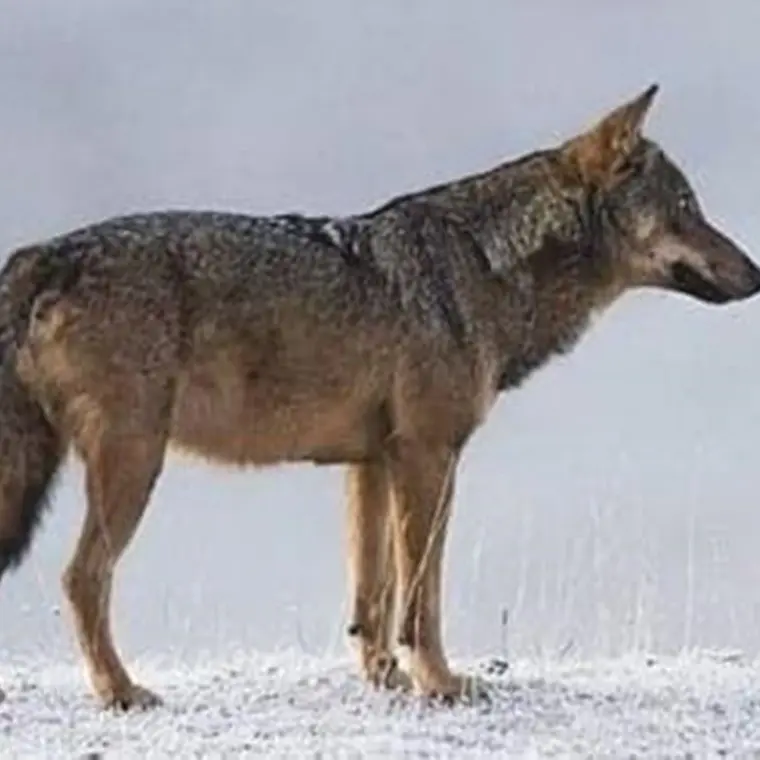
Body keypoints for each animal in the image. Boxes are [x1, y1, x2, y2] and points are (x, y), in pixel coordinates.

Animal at [0, 84, 757, 711]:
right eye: (687, 209)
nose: (755, 274)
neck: (483, 268)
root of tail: (45, 252)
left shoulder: (372, 465)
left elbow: (374, 595)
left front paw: (385, 677)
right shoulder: (430, 457)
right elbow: (423, 595)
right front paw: (441, 684)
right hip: (133, 467)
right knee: (81, 579)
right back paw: (121, 691)